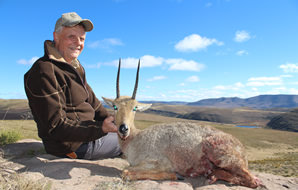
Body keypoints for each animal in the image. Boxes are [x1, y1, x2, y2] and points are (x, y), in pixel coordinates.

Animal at [102, 59, 260, 189]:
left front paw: (175, 175)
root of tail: (242, 151)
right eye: (115, 107)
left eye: (135, 108)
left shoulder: (158, 162)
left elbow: (126, 172)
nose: (123, 128)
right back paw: (211, 175)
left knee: (253, 181)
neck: (135, 138)